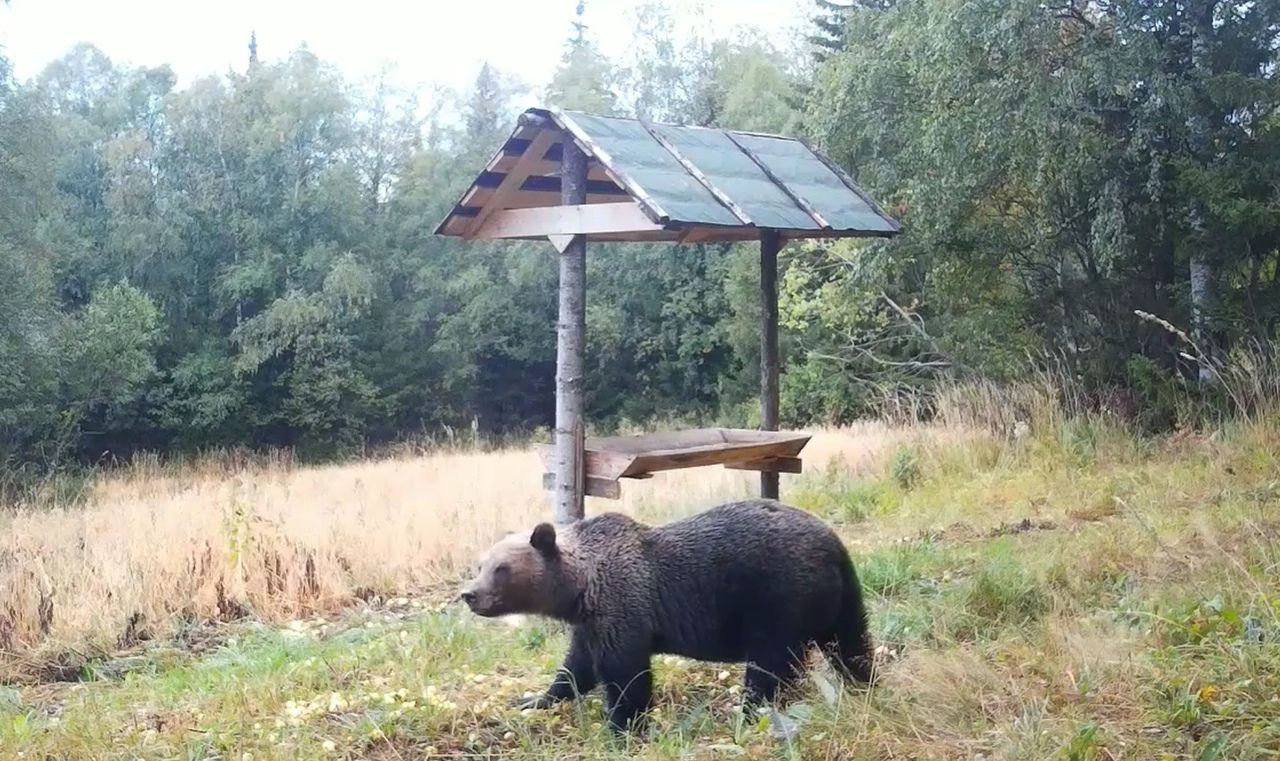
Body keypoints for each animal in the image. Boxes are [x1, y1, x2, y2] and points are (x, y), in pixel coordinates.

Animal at [455, 501, 875, 731]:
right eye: (481, 564)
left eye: (501, 569)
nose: (470, 594)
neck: (580, 589)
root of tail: (834, 543)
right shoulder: (592, 623)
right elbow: (576, 669)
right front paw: (534, 699)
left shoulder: (623, 605)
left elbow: (627, 678)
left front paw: (621, 727)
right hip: (839, 598)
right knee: (851, 644)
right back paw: (864, 683)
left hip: (778, 596)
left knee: (770, 663)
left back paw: (745, 709)